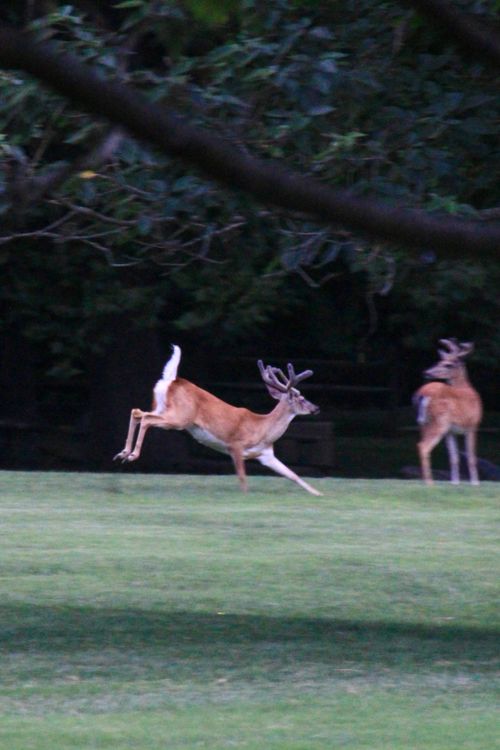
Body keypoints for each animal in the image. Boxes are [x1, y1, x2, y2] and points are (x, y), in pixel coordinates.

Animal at [113, 345, 322, 496]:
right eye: (300, 398)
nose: (316, 408)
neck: (262, 428)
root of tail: (171, 380)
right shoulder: (235, 445)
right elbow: (242, 477)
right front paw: (245, 496)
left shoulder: (266, 454)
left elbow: (293, 475)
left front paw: (318, 494)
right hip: (179, 418)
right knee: (146, 418)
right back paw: (132, 455)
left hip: (163, 408)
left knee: (137, 412)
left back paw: (123, 453)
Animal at [413, 339, 482, 486]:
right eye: (440, 361)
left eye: (447, 364)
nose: (427, 372)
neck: (466, 387)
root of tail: (423, 394)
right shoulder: (473, 424)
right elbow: (471, 456)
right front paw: (475, 482)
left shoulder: (451, 431)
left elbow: (454, 457)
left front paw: (455, 482)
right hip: (439, 421)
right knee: (423, 446)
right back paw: (429, 482)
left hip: (423, 422)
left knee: (421, 443)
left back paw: (425, 480)